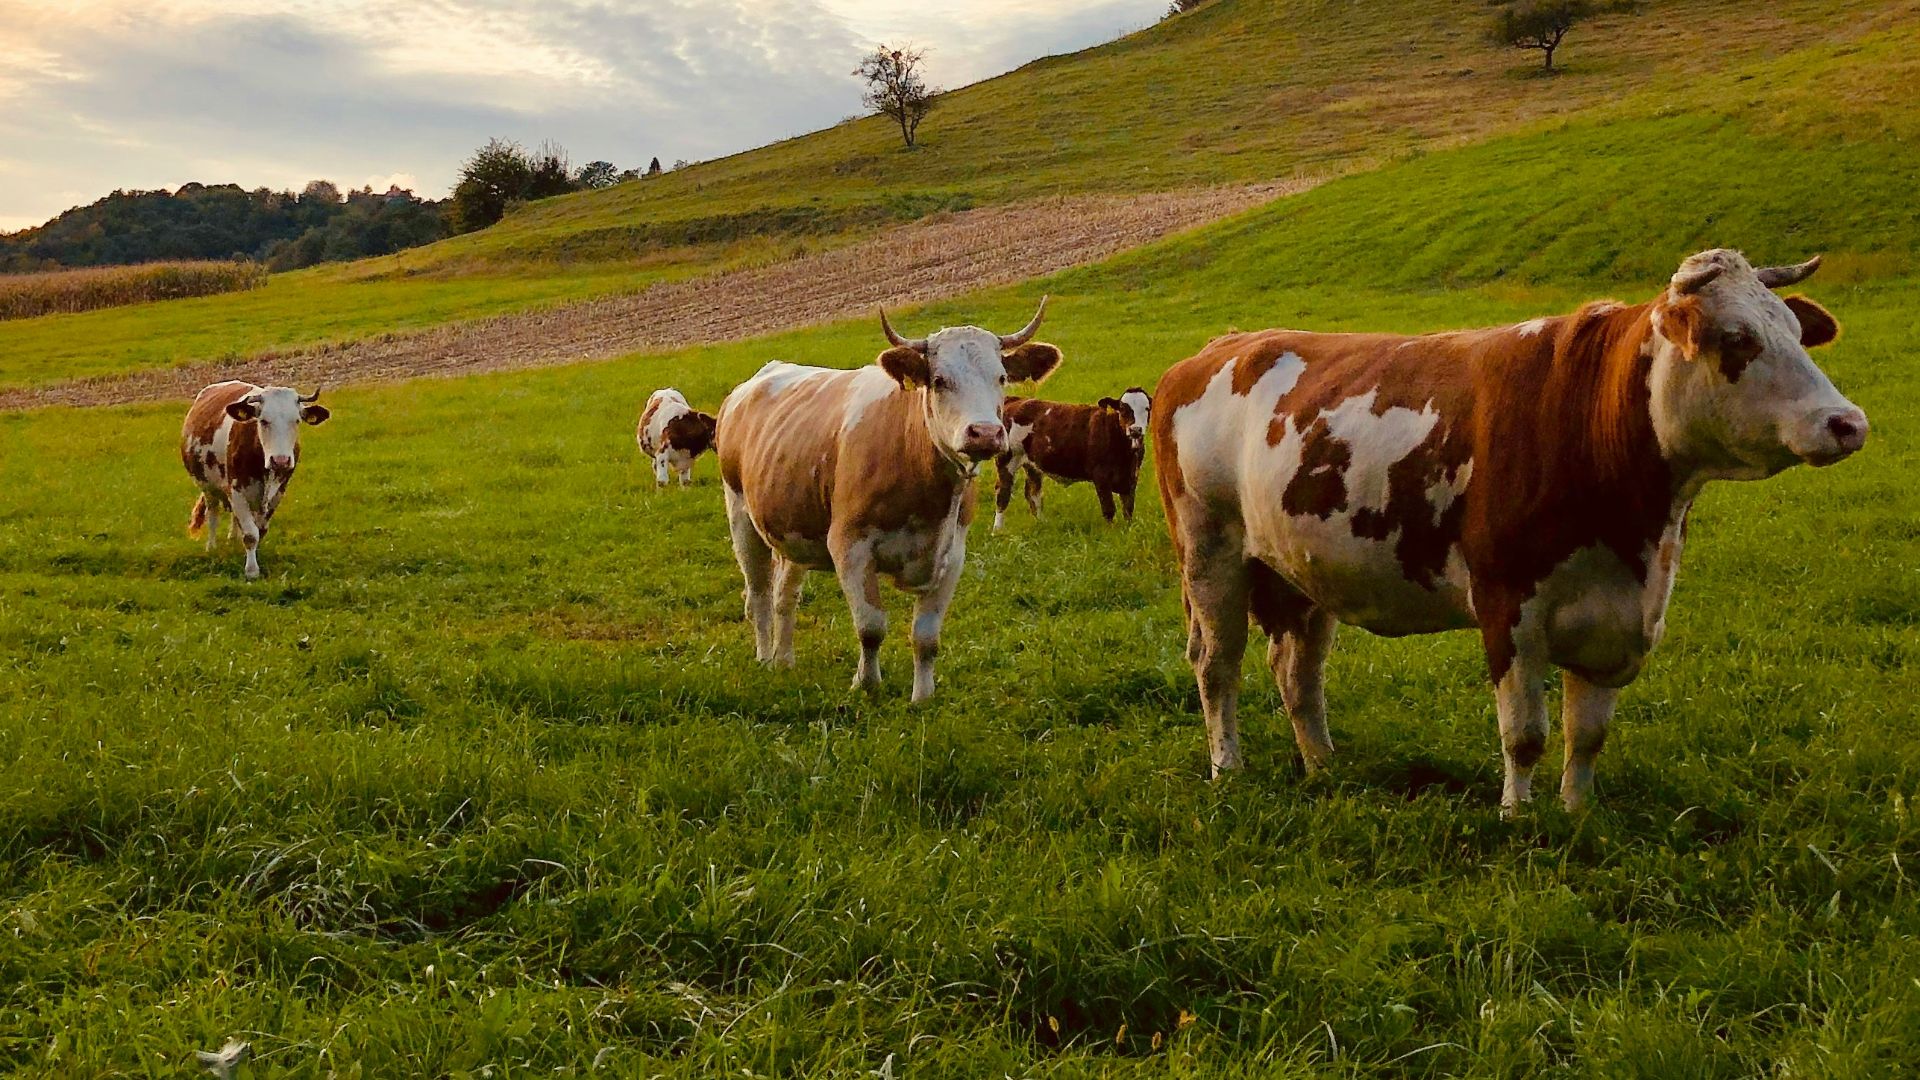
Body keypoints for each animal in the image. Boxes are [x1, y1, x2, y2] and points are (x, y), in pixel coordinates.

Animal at [181, 381, 331, 581]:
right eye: (263, 421)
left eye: (297, 421)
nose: (280, 460)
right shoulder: (236, 491)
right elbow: (251, 534)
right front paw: (252, 570)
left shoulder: (278, 493)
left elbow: (259, 530)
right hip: (207, 487)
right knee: (213, 514)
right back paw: (211, 547)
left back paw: (233, 540)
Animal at [716, 299, 1061, 702]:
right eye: (939, 380)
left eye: (1001, 378)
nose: (986, 433)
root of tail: (758, 379)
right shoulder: (849, 545)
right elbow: (871, 626)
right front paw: (866, 684)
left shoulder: (953, 554)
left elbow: (926, 637)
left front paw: (923, 697)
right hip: (741, 515)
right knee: (758, 595)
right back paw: (764, 658)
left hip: (791, 527)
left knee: (785, 595)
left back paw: (784, 660)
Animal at [994, 387, 1152, 529]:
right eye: (1123, 409)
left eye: (1147, 408)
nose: (1135, 430)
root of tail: (1016, 400)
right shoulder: (1101, 477)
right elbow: (1109, 509)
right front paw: (1111, 532)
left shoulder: (1131, 477)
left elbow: (1128, 510)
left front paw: (1128, 530)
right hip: (1007, 459)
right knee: (1003, 493)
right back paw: (997, 530)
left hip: (1033, 465)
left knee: (1033, 493)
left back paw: (1042, 523)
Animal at [1152, 249, 1866, 813]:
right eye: (1737, 338)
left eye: (1797, 331)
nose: (1847, 422)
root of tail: (1216, 348)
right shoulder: (1508, 606)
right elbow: (1525, 734)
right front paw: (1517, 819)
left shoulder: (1621, 620)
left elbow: (1587, 735)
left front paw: (1576, 815)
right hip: (1210, 551)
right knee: (1217, 664)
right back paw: (1227, 768)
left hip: (1300, 566)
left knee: (1296, 671)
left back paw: (1324, 768)